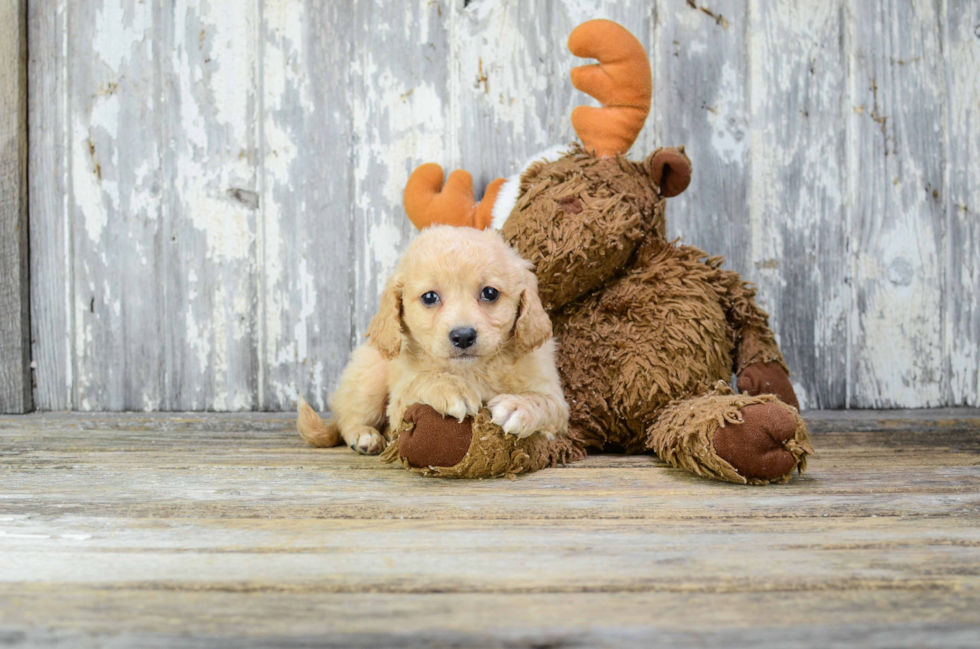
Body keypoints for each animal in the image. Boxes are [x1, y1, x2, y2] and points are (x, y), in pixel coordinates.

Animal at [302, 225, 572, 454]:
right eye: (430, 297)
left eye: (490, 293)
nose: (463, 336)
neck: (474, 370)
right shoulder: (398, 406)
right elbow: (421, 380)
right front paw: (451, 389)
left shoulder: (555, 398)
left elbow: (547, 403)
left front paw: (519, 406)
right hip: (369, 377)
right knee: (348, 419)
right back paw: (364, 436)